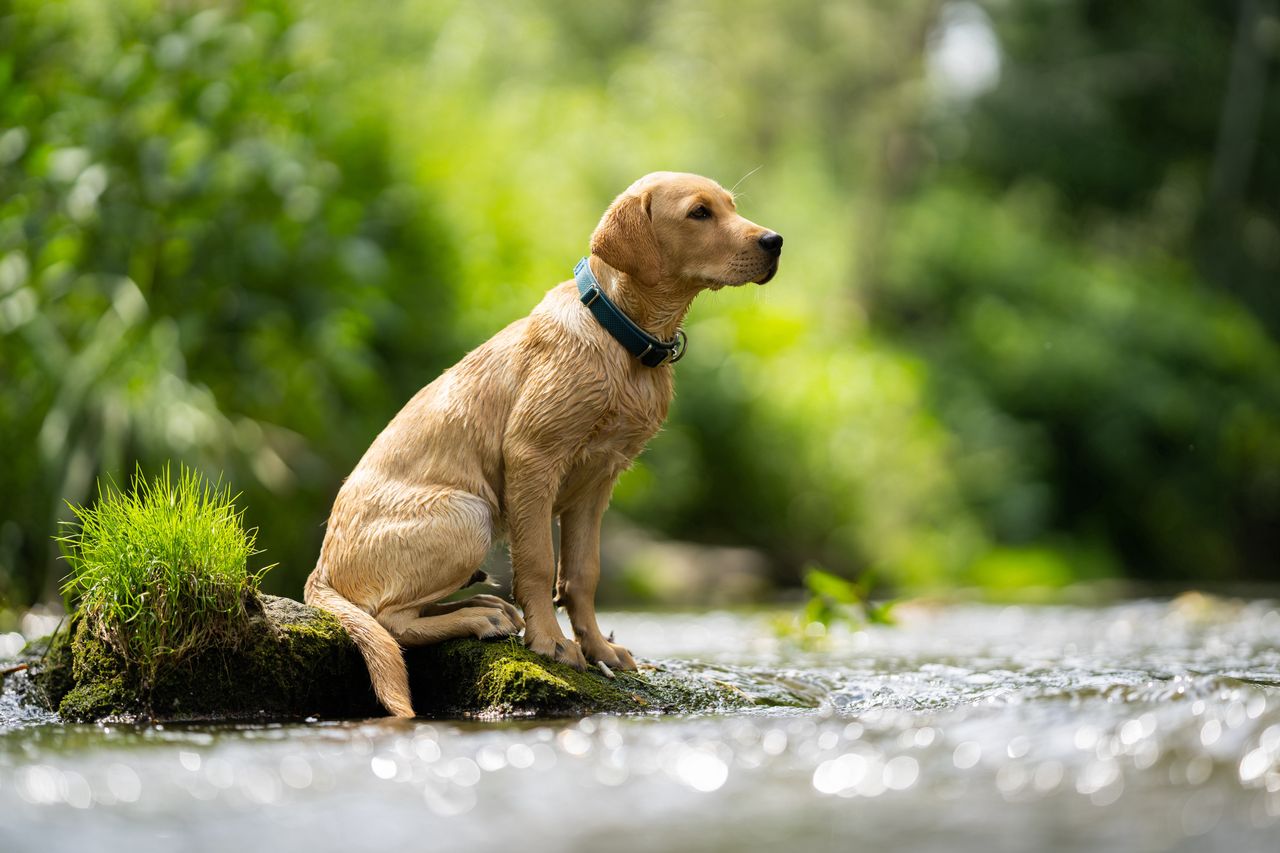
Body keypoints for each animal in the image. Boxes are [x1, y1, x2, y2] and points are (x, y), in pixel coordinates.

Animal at [304, 169, 778, 712]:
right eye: (699, 213)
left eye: (731, 206)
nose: (776, 242)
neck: (619, 335)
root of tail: (319, 572)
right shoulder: (533, 457)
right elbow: (537, 561)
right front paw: (551, 642)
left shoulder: (599, 480)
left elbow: (582, 572)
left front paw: (599, 649)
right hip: (470, 513)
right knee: (388, 620)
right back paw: (479, 617)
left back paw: (488, 606)